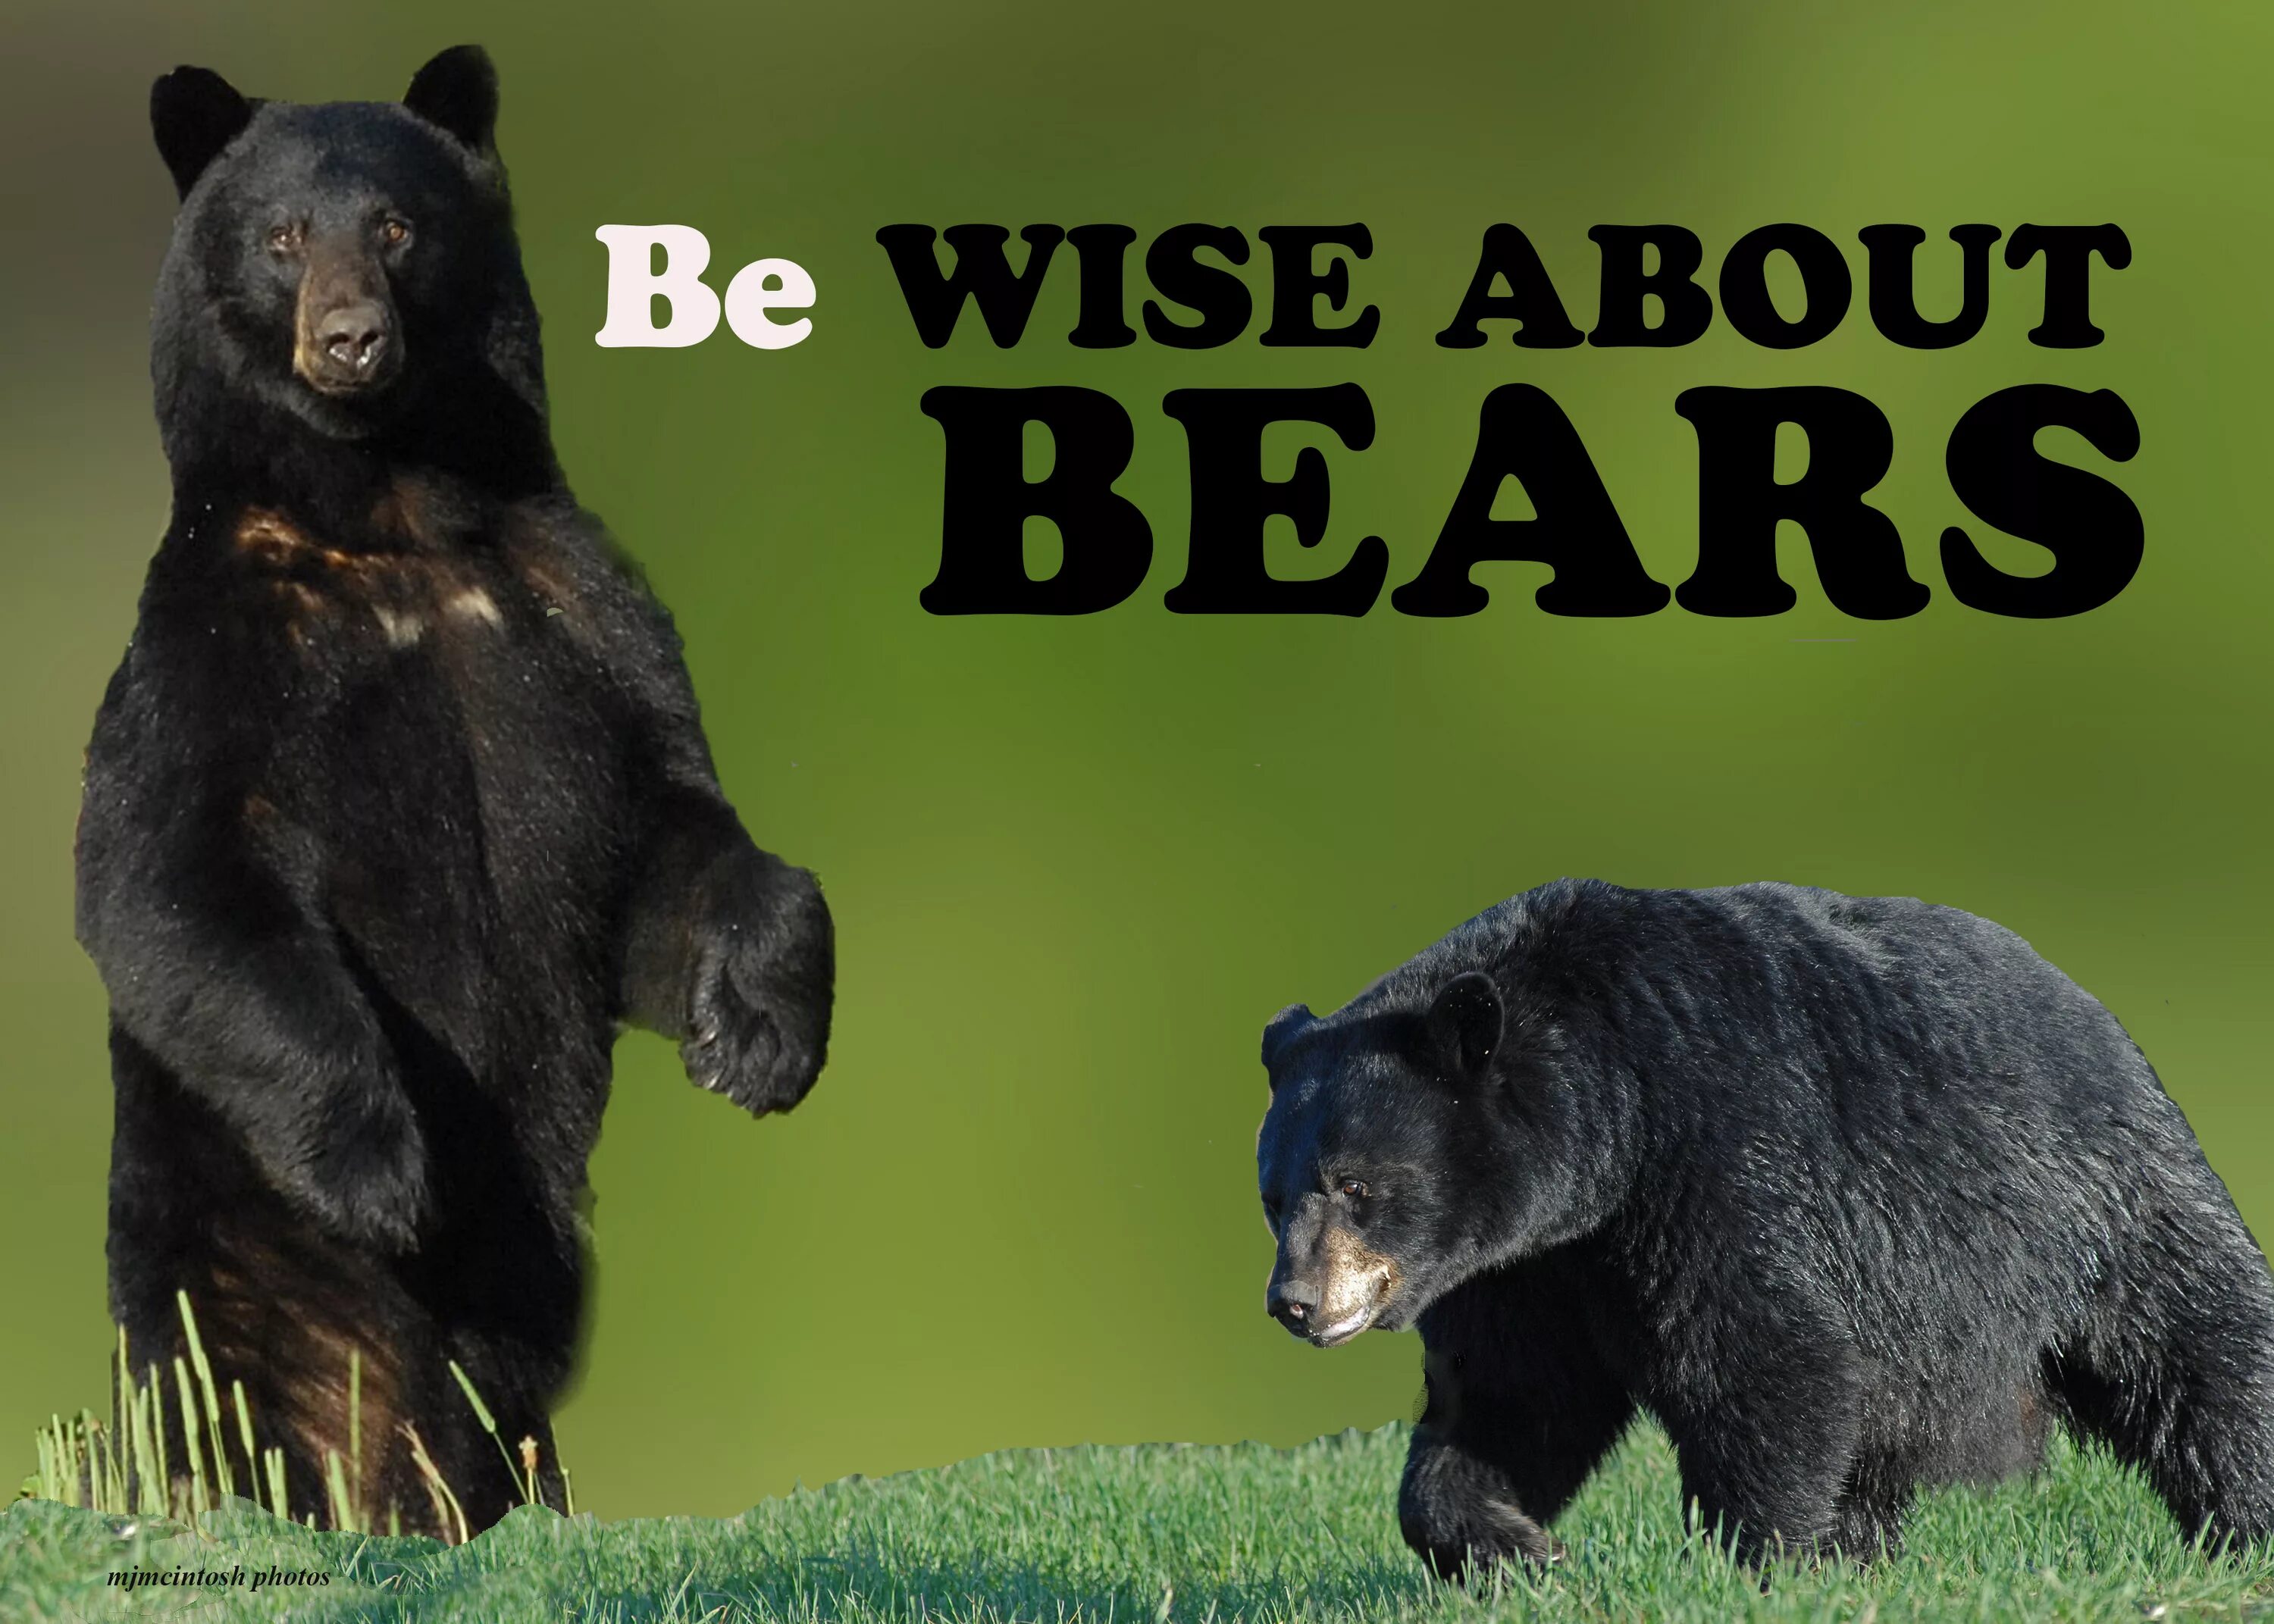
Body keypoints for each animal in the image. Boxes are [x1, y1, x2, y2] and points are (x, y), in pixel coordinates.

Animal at [73, 46, 834, 1535]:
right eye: (282, 235)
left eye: (398, 227)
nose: (350, 338)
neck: (394, 525)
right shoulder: (209, 653)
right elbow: (170, 881)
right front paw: (383, 1164)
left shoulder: (584, 620)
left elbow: (665, 841)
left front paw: (760, 1035)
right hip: (234, 1271)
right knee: (254, 1416)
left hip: (514, 1346)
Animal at [1254, 878, 2274, 1572]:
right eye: (1272, 1192)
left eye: (1354, 1183)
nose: (1294, 1300)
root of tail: (2096, 1007)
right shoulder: (1530, 1269)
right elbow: (1514, 1401)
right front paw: (1514, 1548)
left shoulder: (1723, 1152)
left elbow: (1769, 1357)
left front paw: (1748, 1556)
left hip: (2095, 1207)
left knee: (2205, 1353)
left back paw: (2246, 1523)